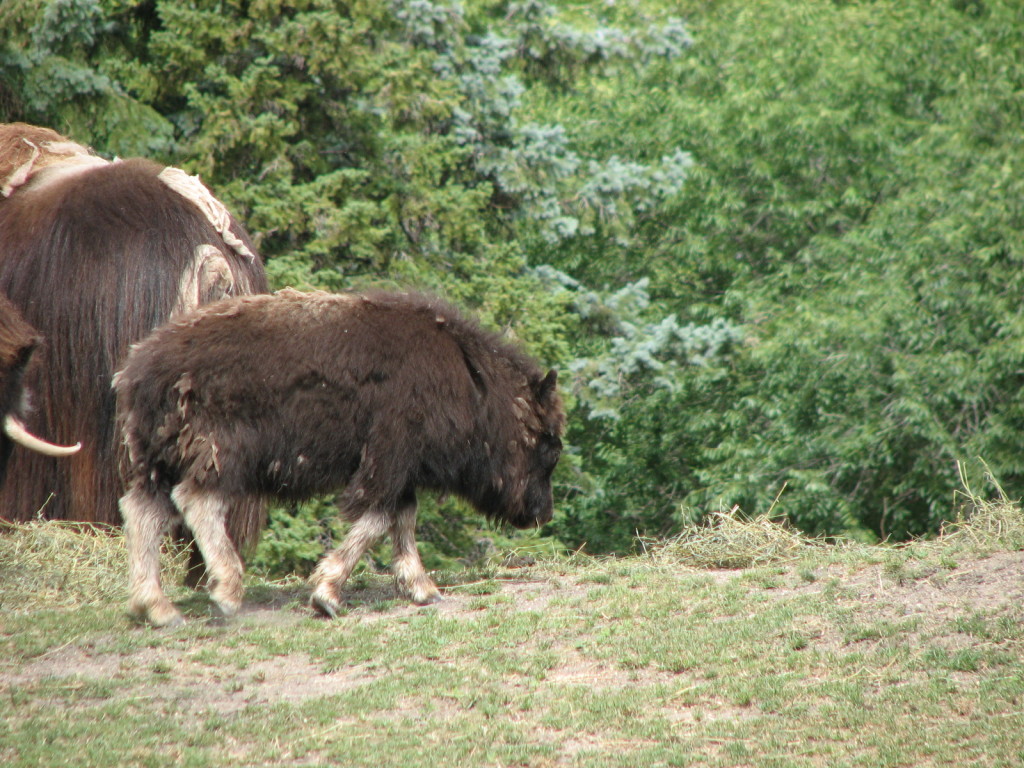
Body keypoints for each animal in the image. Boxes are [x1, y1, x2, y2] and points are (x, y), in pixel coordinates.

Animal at [119, 286, 569, 626]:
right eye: (549, 444)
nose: (541, 513)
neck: (471, 380)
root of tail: (143, 369)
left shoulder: (401, 469)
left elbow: (402, 518)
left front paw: (423, 589)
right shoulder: (388, 457)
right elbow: (378, 518)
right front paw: (327, 595)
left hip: (156, 458)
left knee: (144, 511)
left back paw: (158, 609)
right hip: (222, 452)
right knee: (197, 501)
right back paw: (226, 594)